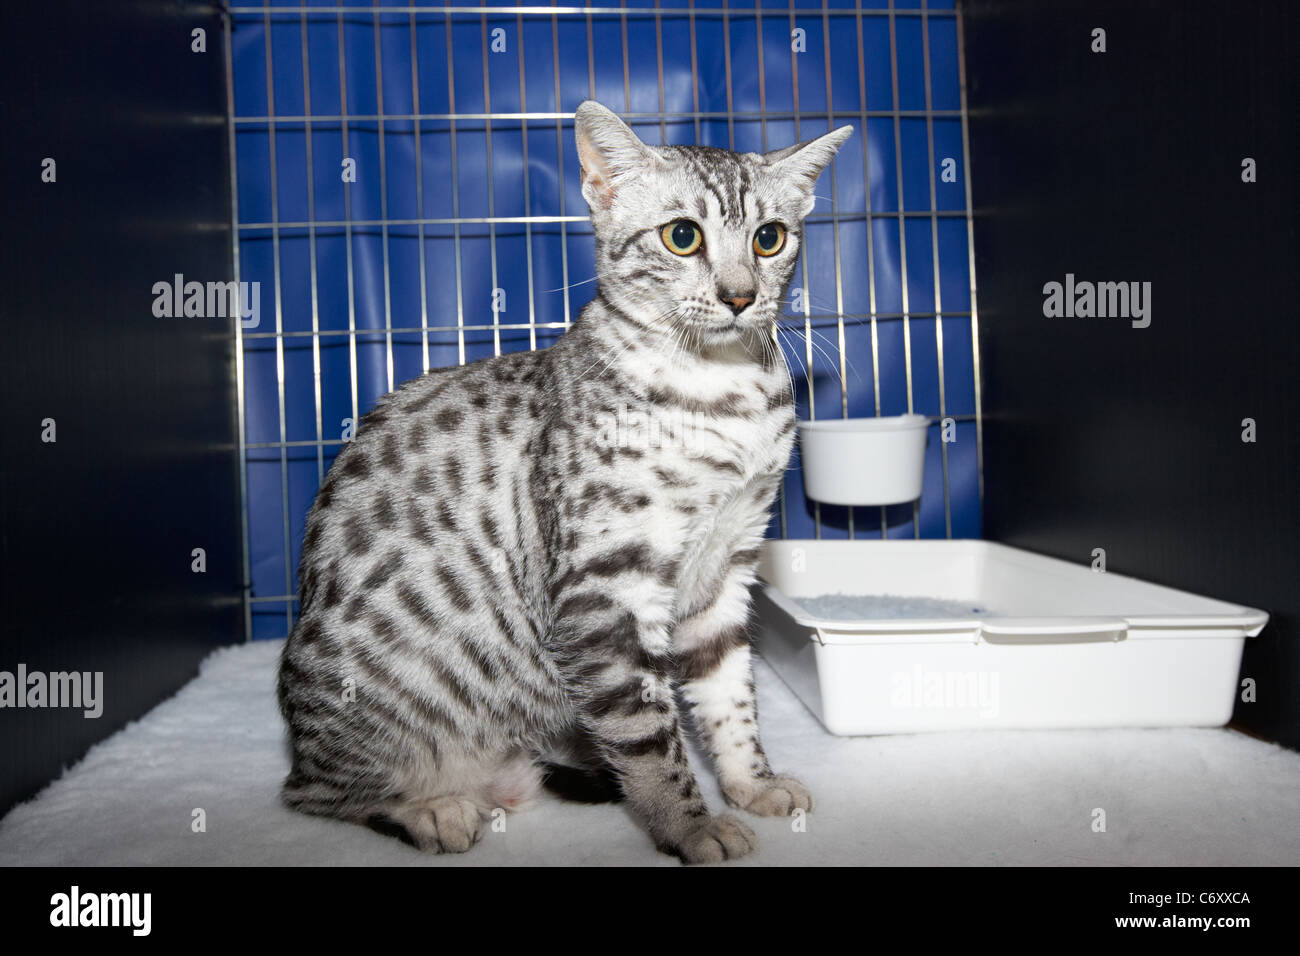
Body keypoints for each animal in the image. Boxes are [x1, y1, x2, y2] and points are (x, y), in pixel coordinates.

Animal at [278, 100, 847, 863]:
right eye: (682, 236)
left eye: (769, 238)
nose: (739, 296)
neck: (723, 397)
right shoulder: (604, 590)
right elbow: (649, 736)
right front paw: (690, 827)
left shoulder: (726, 567)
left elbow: (729, 695)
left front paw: (751, 783)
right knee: (316, 795)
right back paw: (431, 809)